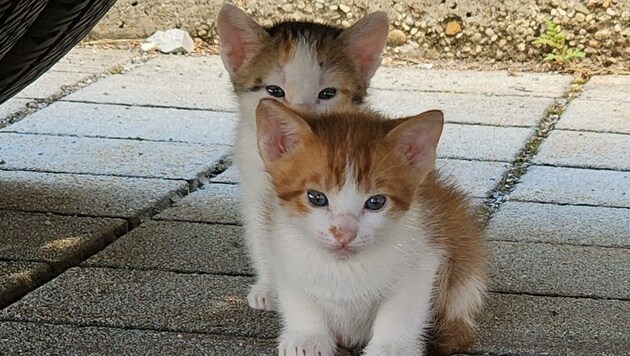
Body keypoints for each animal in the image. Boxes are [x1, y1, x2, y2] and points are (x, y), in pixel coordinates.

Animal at [256, 98, 488, 356]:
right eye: (316, 197)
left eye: (376, 202)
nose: (344, 233)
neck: (344, 268)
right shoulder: (281, 247)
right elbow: (297, 294)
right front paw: (307, 337)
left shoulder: (426, 254)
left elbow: (401, 307)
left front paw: (391, 347)